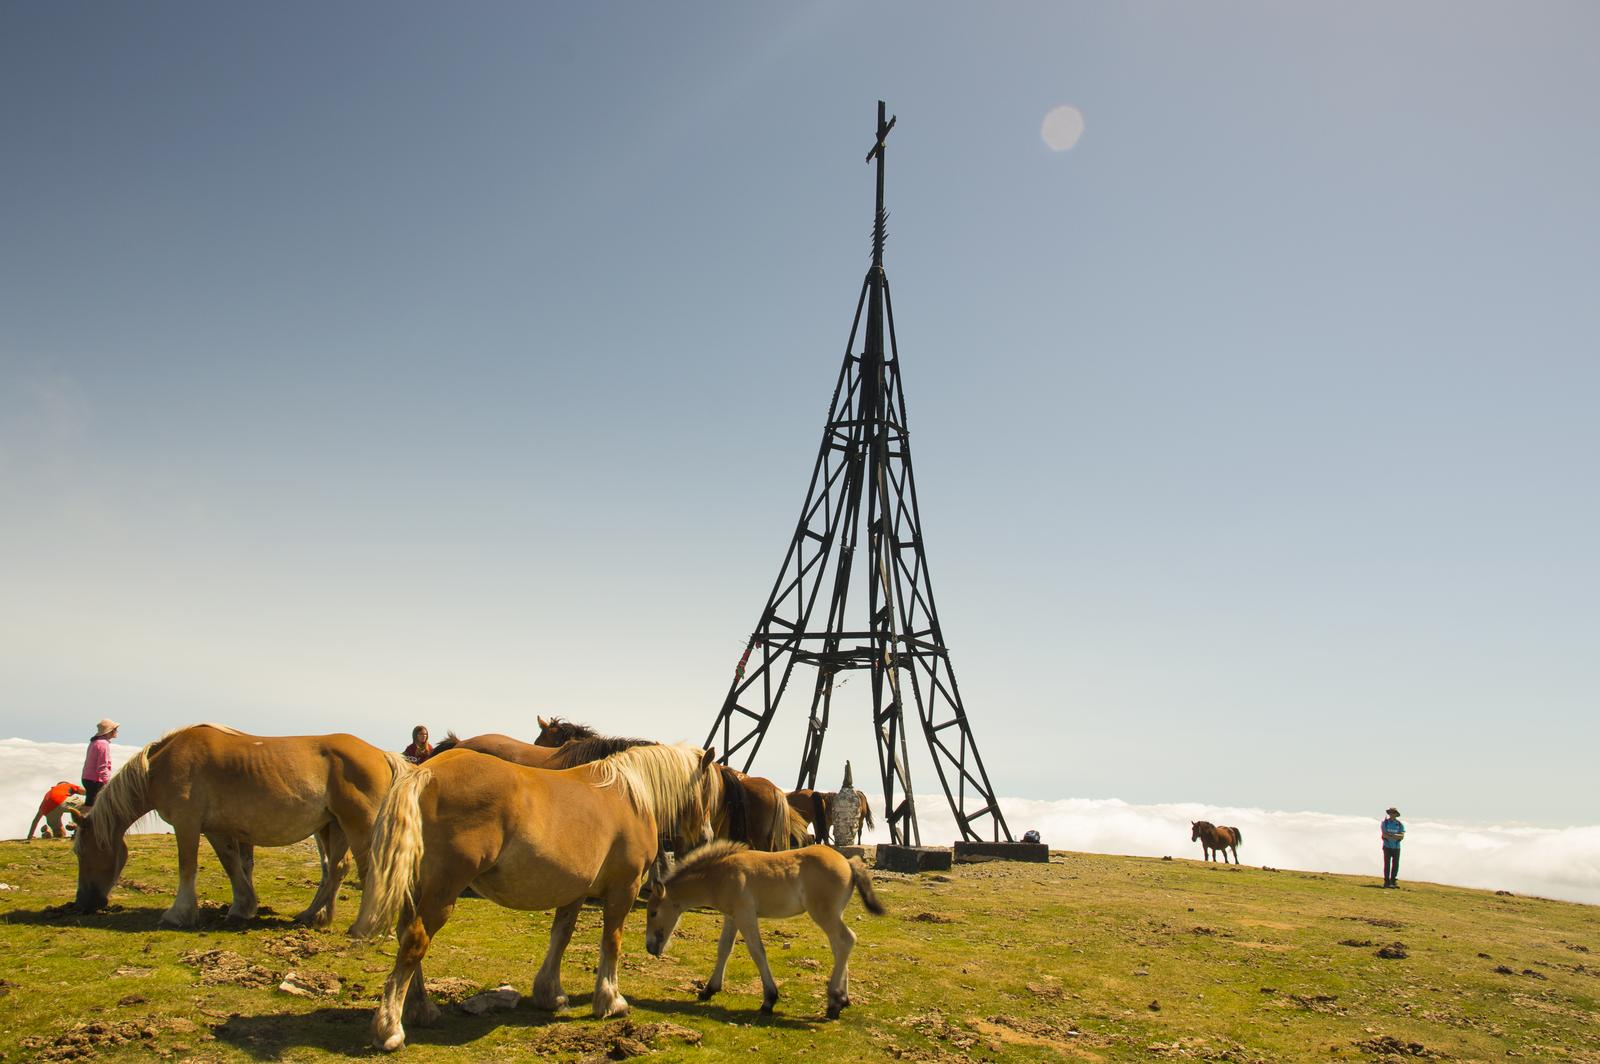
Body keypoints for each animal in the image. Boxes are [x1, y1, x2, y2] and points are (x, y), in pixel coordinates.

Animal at [73, 724, 409, 929]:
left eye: (80, 852)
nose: (83, 904)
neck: (162, 765)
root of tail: (383, 755)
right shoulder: (217, 829)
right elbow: (234, 865)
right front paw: (242, 907)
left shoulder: (187, 823)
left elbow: (188, 866)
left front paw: (178, 914)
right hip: (334, 827)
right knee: (337, 869)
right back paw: (314, 916)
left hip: (358, 825)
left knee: (367, 870)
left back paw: (368, 926)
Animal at [352, 742, 724, 1051]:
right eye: (707, 788)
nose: (706, 835)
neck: (631, 797)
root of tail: (426, 772)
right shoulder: (624, 889)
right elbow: (612, 942)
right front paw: (610, 1000)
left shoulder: (575, 892)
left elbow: (561, 936)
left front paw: (551, 994)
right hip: (443, 890)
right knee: (416, 941)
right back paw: (390, 1029)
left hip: (418, 888)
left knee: (407, 936)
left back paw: (421, 1009)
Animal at [644, 840, 885, 1019]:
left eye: (653, 912)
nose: (649, 947)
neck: (719, 875)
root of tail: (848, 862)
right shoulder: (732, 917)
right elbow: (724, 949)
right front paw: (708, 990)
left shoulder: (745, 915)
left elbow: (757, 952)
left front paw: (769, 999)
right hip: (833, 914)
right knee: (839, 946)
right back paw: (842, 1000)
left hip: (823, 913)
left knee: (846, 940)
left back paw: (835, 1001)